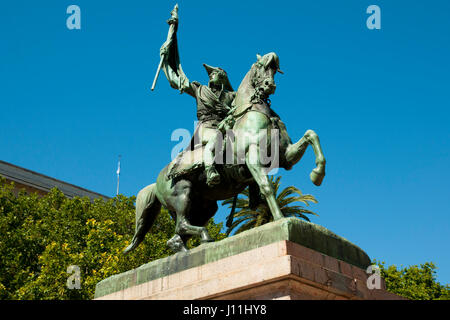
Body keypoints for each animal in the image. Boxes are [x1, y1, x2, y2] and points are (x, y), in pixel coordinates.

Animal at [124, 52, 326, 252]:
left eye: (275, 70)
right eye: (260, 66)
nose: (270, 85)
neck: (253, 111)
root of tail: (156, 181)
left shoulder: (285, 157)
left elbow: (311, 135)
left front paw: (317, 174)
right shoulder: (252, 155)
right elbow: (266, 186)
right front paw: (280, 218)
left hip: (204, 206)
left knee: (178, 233)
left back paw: (184, 247)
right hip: (182, 194)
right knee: (181, 224)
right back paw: (204, 235)